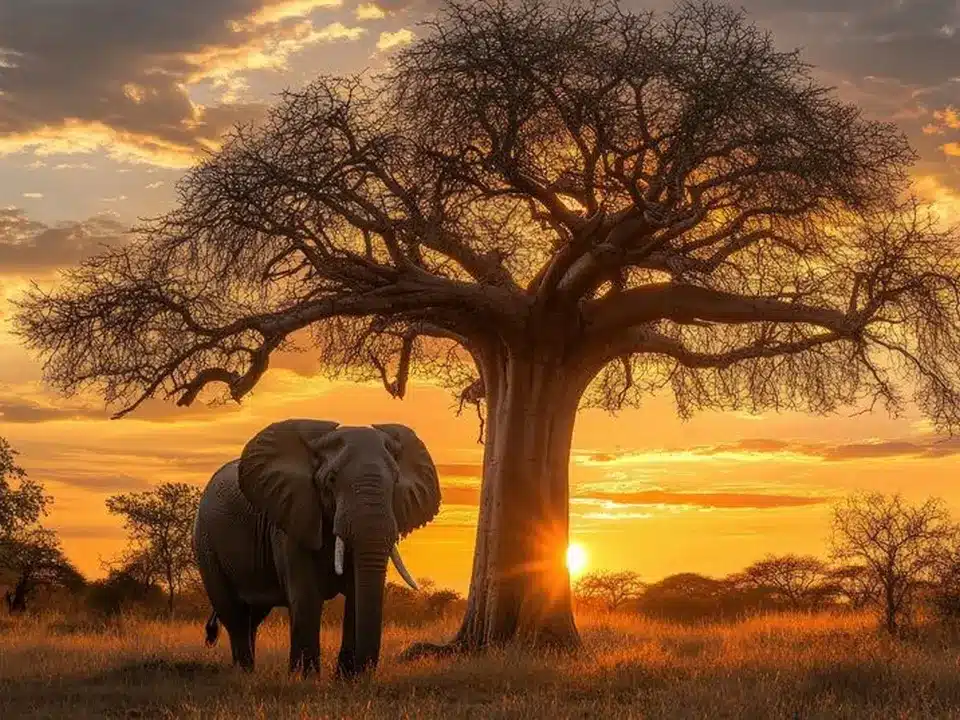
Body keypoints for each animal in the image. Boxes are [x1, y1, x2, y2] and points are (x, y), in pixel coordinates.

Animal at [193, 419, 441, 678]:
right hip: (205, 543)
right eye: (331, 480)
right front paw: (305, 678)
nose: (363, 672)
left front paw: (347, 680)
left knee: (254, 616)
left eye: (395, 481)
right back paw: (244, 673)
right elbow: (306, 595)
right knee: (234, 614)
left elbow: (355, 592)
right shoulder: (292, 518)